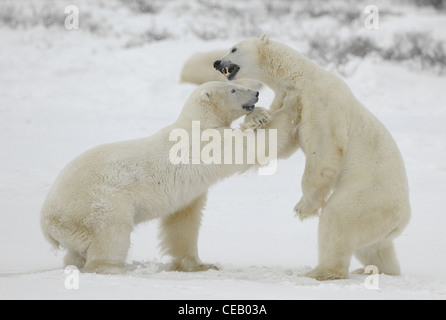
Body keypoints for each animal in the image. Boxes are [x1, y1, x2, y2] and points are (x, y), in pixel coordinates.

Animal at [41, 81, 300, 274]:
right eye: (233, 89)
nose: (256, 93)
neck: (197, 123)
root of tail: (47, 224)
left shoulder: (189, 194)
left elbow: (183, 222)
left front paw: (201, 265)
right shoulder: (208, 142)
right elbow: (250, 146)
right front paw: (289, 106)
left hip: (75, 227)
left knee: (76, 251)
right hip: (96, 203)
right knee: (112, 231)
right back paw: (117, 267)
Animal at [215, 35, 412, 280]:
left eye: (233, 49)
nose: (216, 62)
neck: (300, 76)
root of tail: (402, 220)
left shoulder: (319, 102)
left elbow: (323, 148)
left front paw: (303, 207)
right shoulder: (284, 96)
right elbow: (281, 142)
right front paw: (255, 119)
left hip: (368, 196)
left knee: (338, 219)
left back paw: (319, 271)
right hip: (379, 222)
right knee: (375, 247)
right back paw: (375, 270)